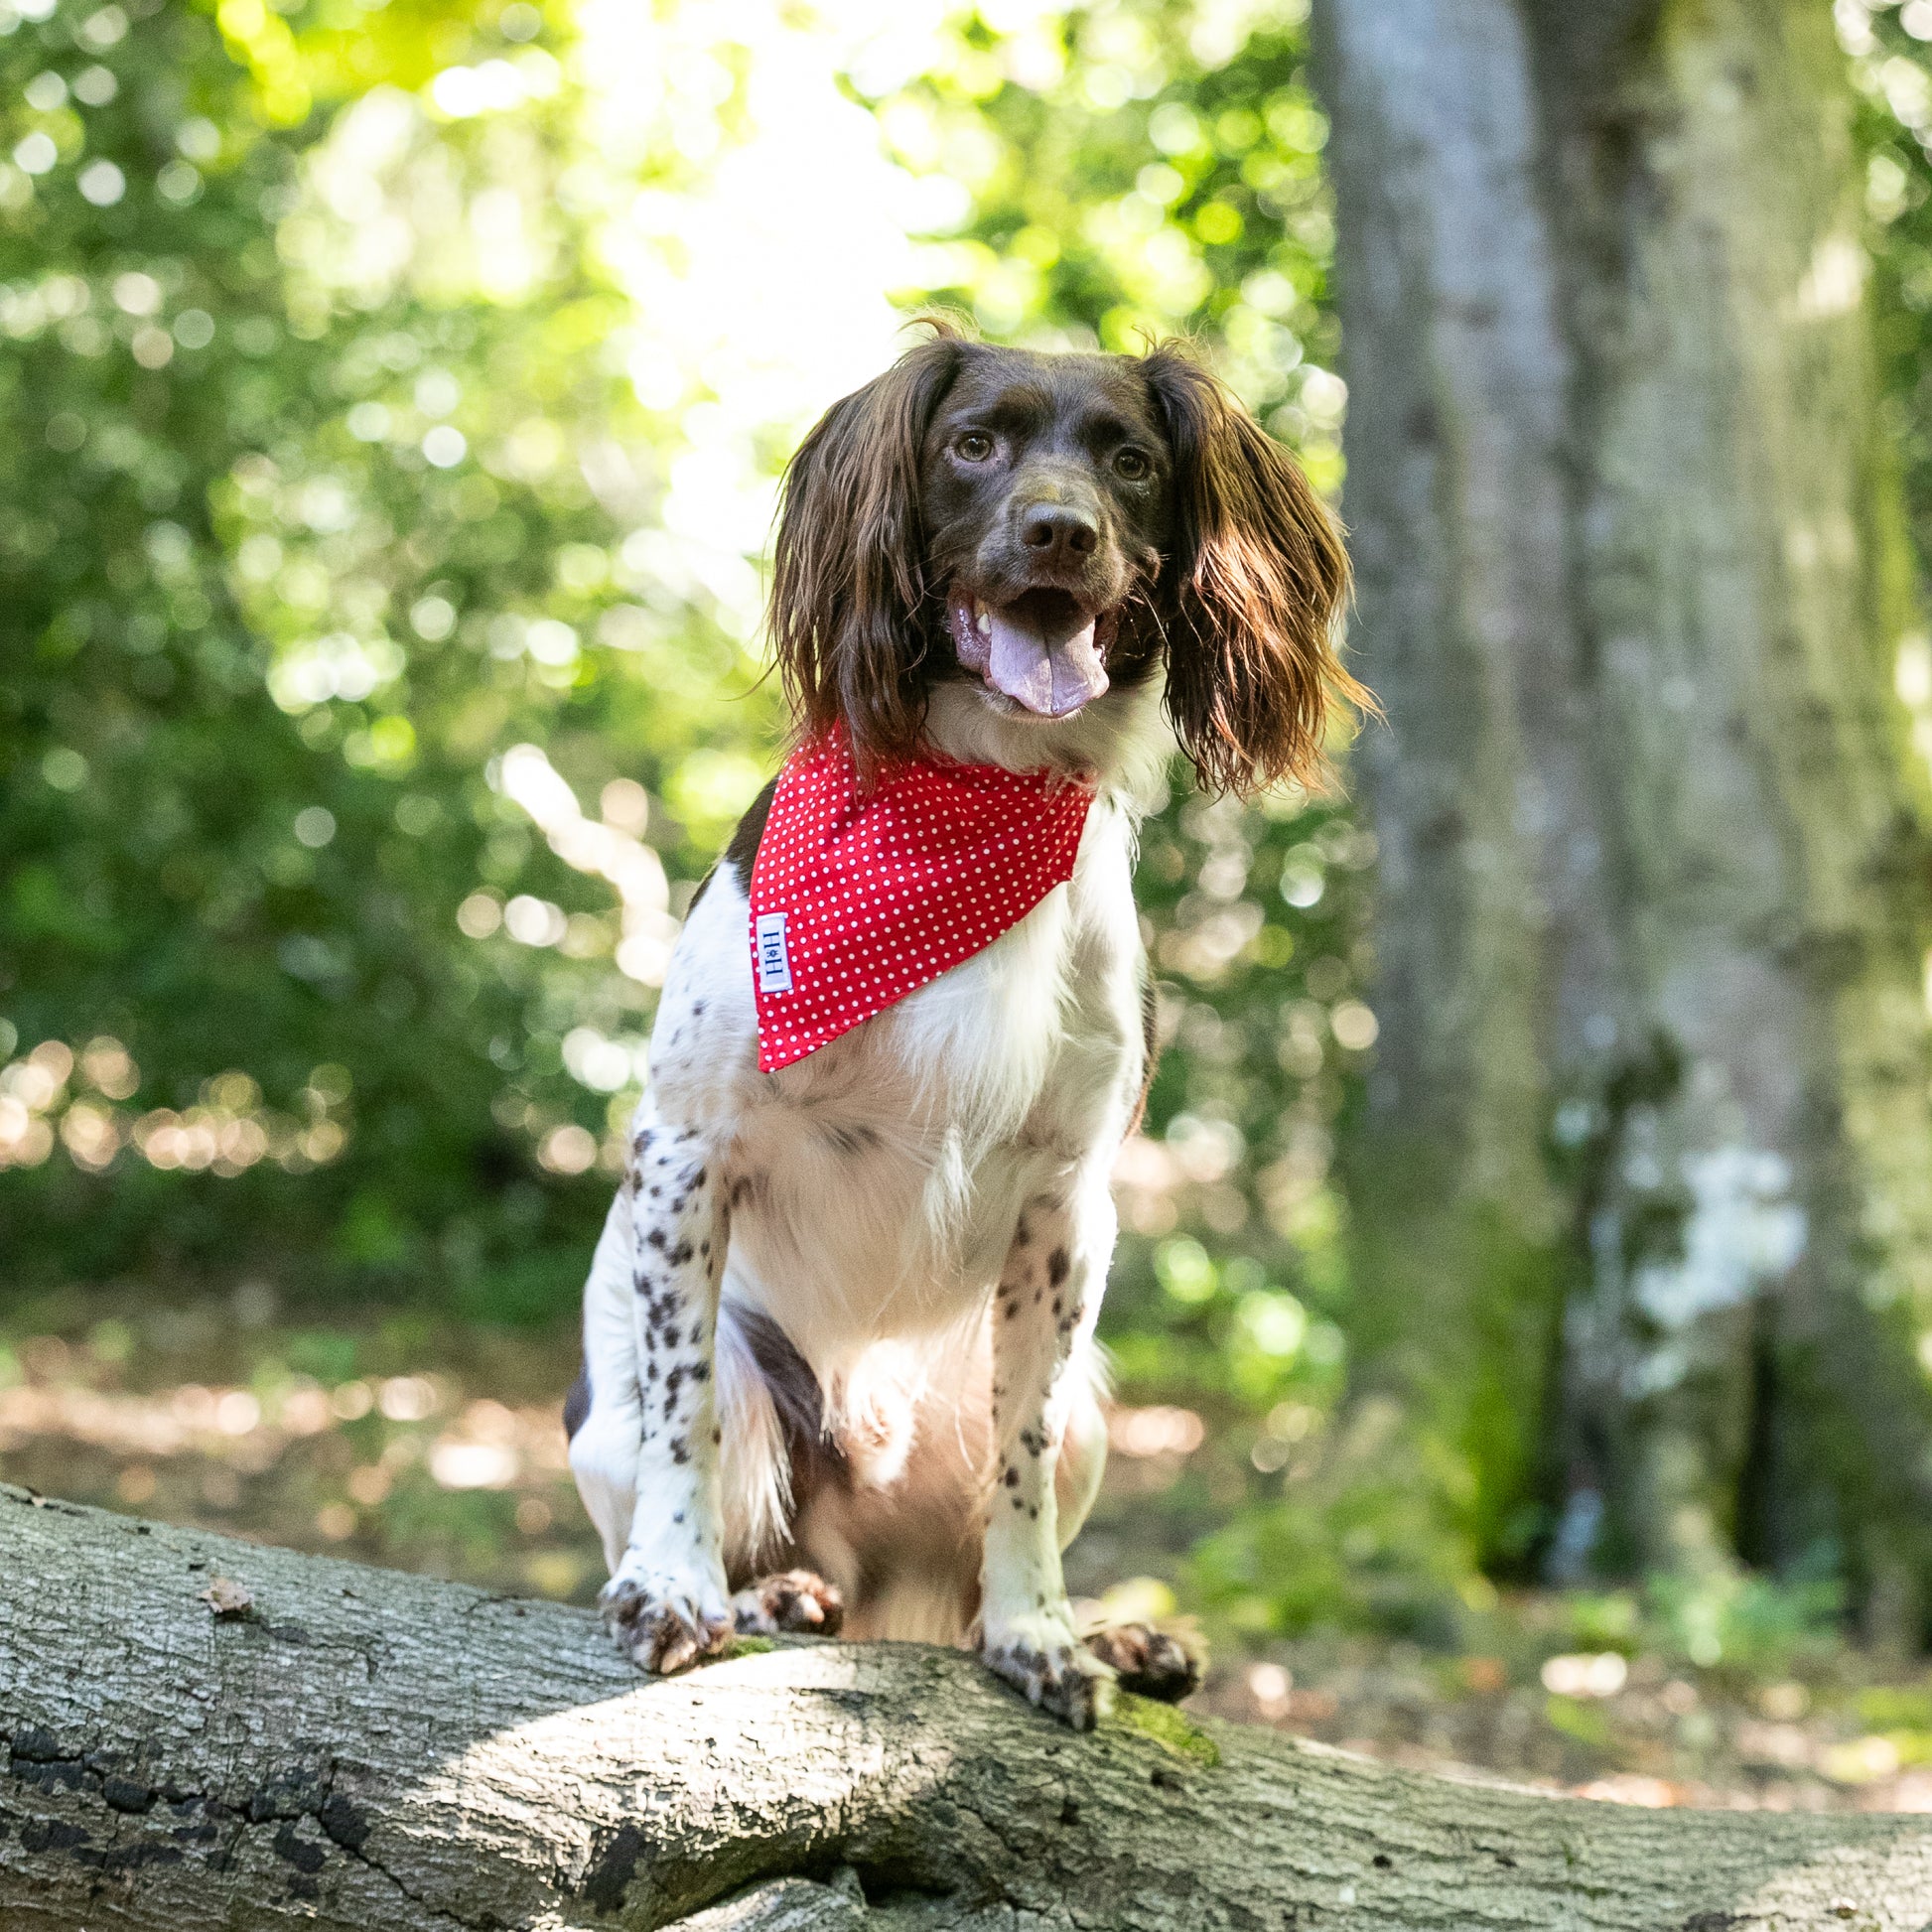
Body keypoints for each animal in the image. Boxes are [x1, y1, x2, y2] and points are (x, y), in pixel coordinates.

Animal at [564, 324, 1359, 1730]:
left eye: (1130, 460)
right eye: (971, 444)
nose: (1058, 532)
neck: (972, 795)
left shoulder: (1067, 1201)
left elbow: (1019, 1465)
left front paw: (1042, 1631)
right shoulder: (686, 1147)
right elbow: (677, 1407)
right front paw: (672, 1582)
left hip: (1087, 1405)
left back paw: (1106, 1635)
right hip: (715, 1385)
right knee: (724, 1453)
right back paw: (768, 1594)